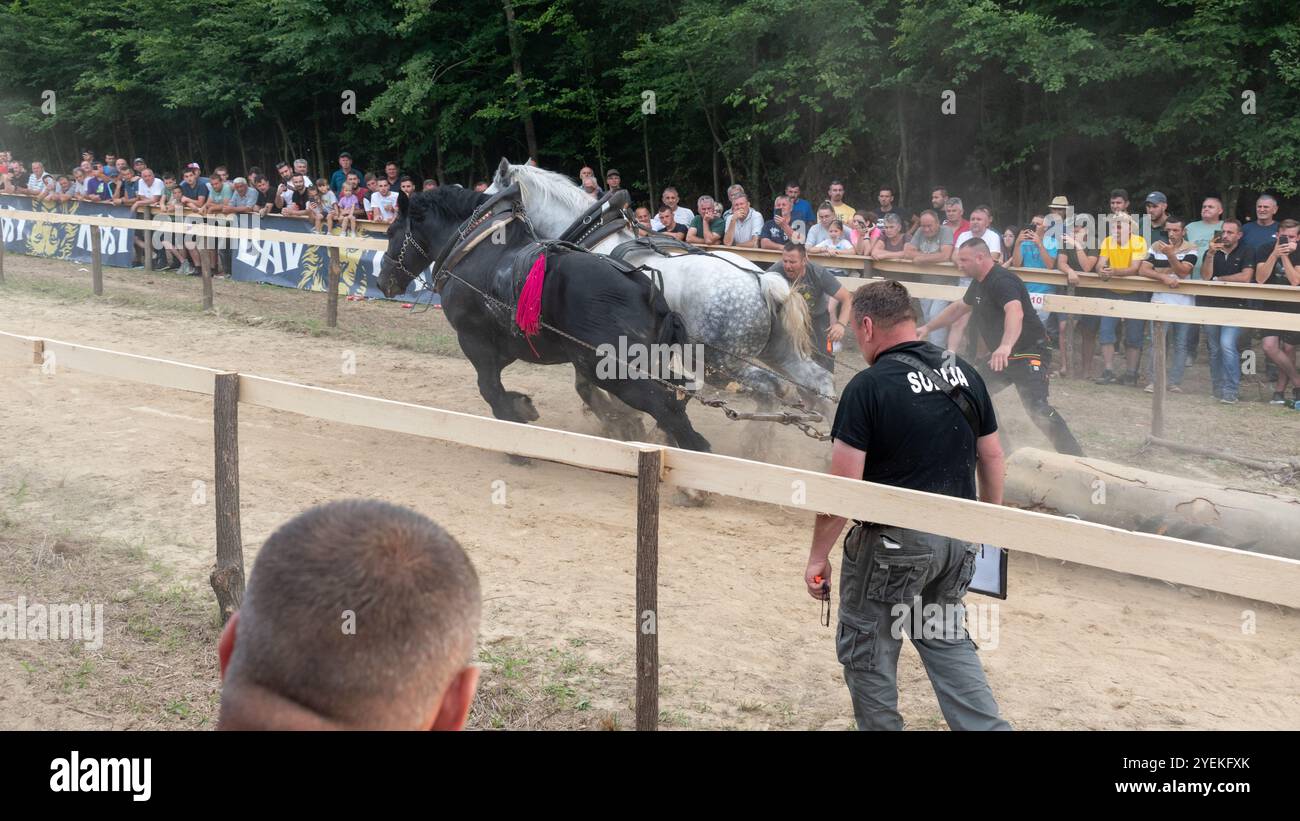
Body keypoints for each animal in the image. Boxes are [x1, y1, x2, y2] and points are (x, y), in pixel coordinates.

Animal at [377, 185, 712, 452]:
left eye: (392, 232)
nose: (382, 281)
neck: (474, 249)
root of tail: (646, 290)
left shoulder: (474, 340)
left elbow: (489, 389)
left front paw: (515, 431)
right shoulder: (507, 346)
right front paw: (523, 406)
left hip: (614, 371)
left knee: (667, 409)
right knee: (672, 402)